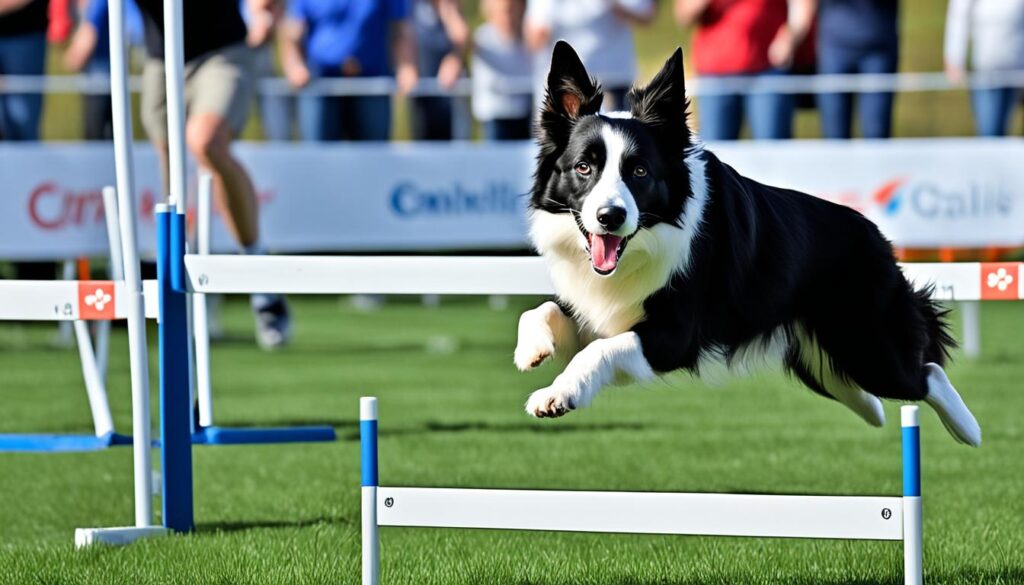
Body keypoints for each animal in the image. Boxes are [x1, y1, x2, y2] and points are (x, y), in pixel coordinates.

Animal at [516, 42, 978, 448]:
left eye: (640, 171)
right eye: (583, 167)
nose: (609, 216)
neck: (645, 242)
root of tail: (877, 237)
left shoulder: (672, 336)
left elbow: (600, 351)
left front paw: (556, 395)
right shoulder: (600, 309)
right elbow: (540, 310)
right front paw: (533, 349)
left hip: (868, 344)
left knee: (927, 374)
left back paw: (968, 430)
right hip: (824, 354)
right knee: (852, 384)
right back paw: (875, 412)